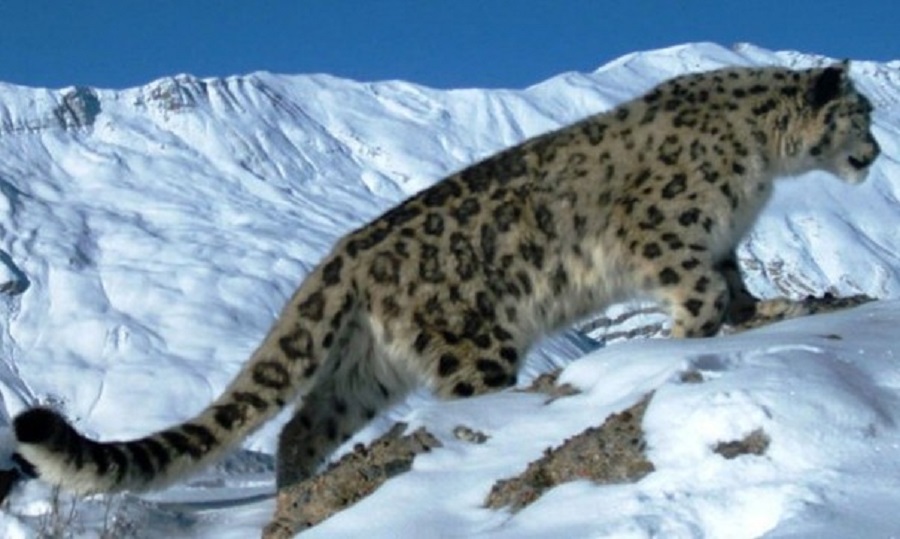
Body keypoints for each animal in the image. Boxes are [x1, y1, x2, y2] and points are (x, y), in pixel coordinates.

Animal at [10, 62, 880, 518]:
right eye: (862, 112)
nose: (875, 154)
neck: (761, 166)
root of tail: (343, 254)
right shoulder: (664, 231)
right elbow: (698, 295)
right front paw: (698, 338)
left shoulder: (721, 239)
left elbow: (732, 284)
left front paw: (770, 309)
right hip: (473, 339)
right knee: (453, 396)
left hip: (366, 369)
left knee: (302, 424)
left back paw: (297, 493)